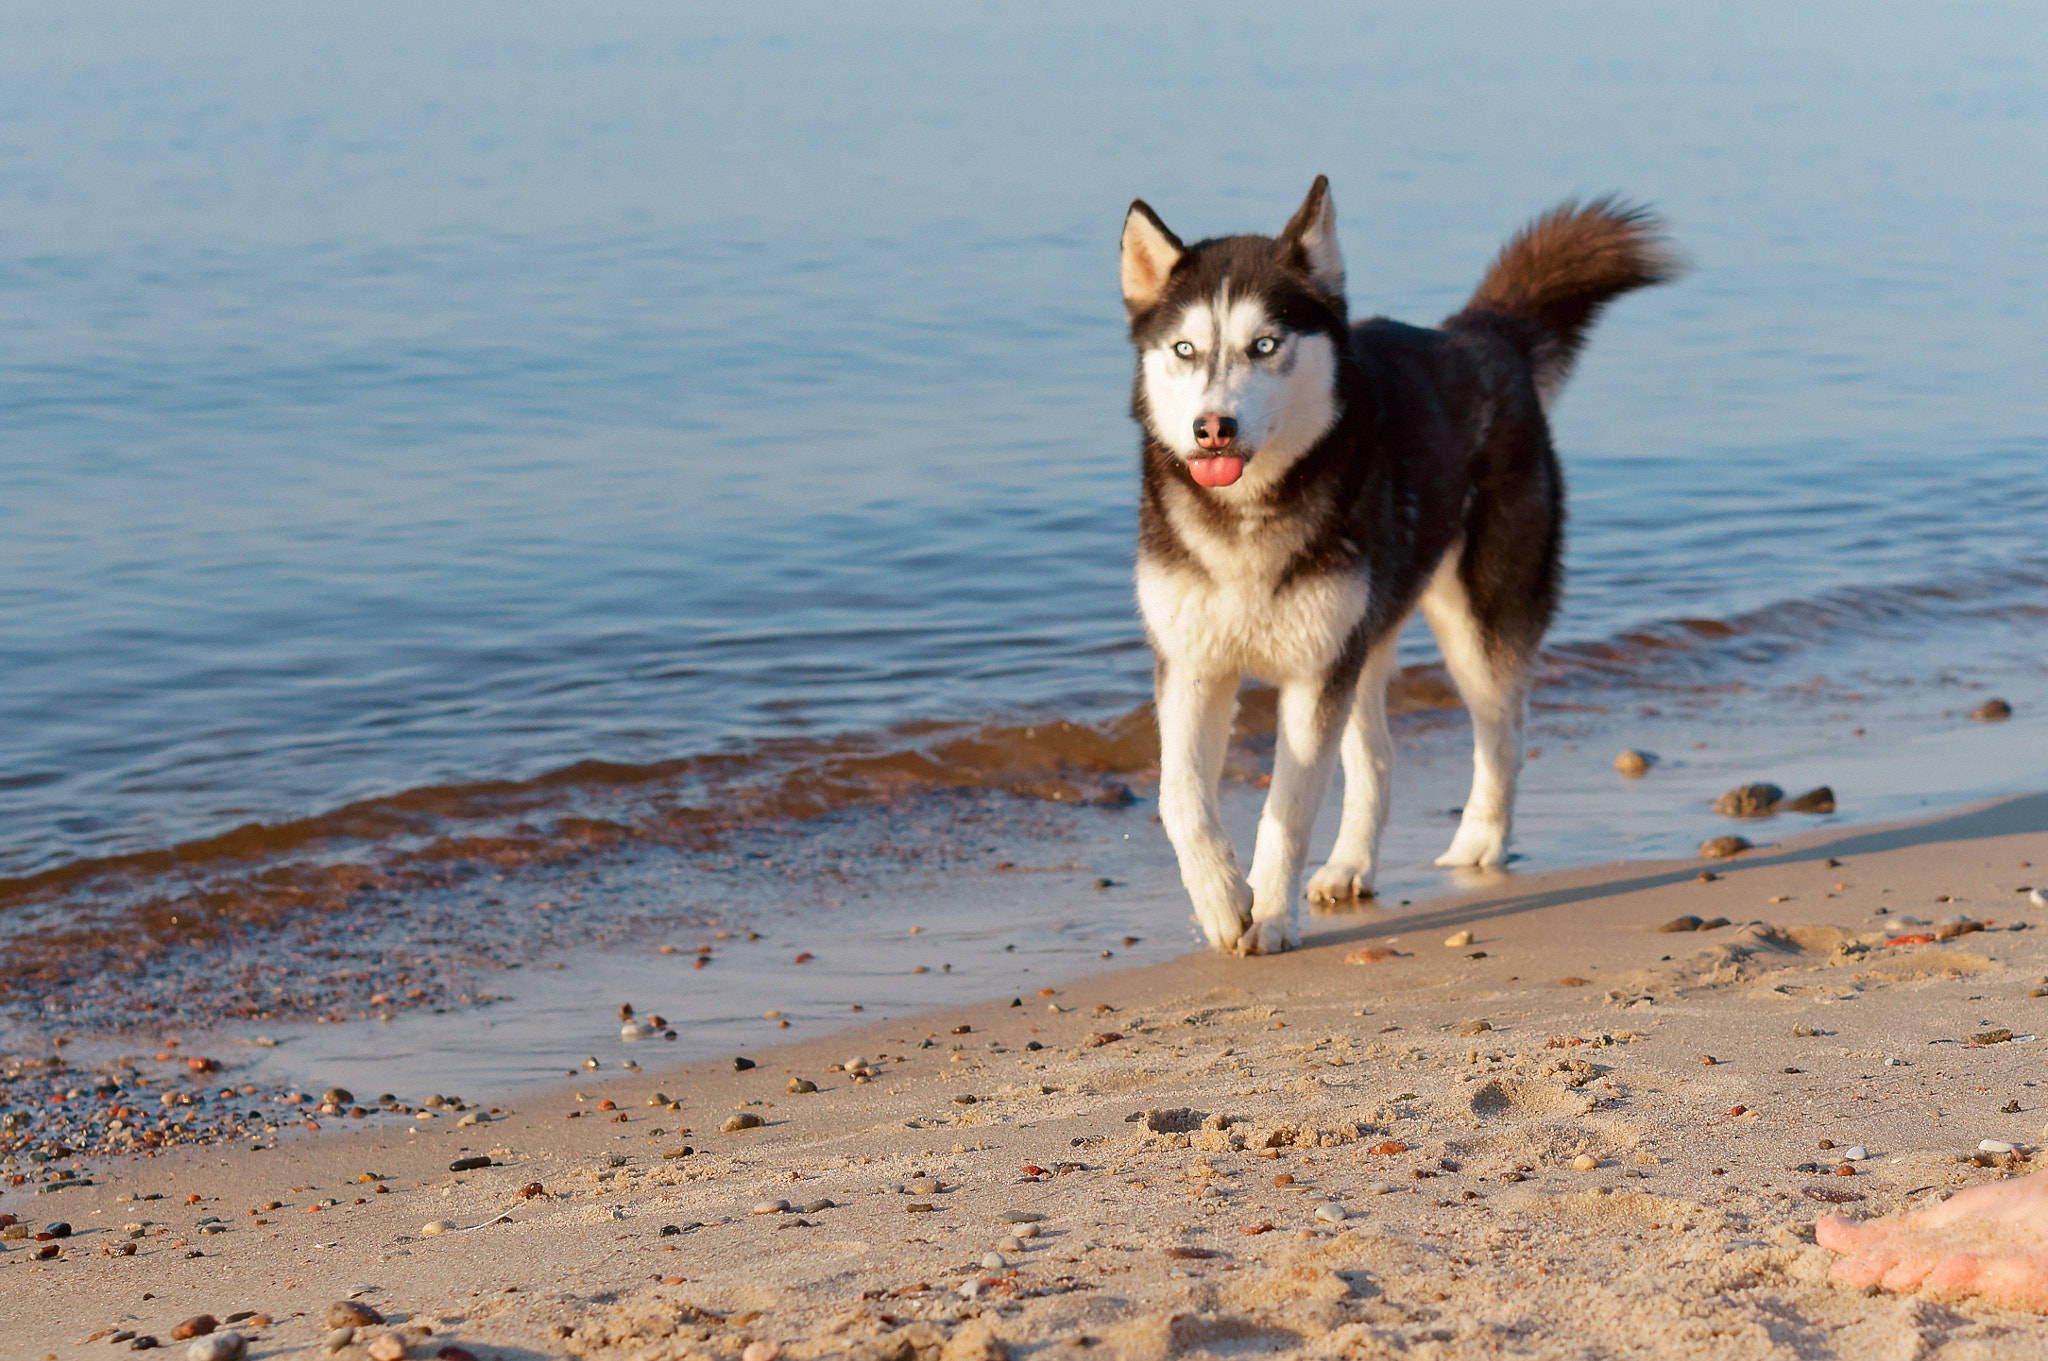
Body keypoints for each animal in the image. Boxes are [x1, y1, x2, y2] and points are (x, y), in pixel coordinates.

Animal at [1122, 174, 1679, 949]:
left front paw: (1270, 914)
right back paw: (1350, 865)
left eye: (1264, 345)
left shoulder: (1315, 673)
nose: (1213, 428)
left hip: (1475, 624)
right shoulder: (1193, 664)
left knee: (1503, 734)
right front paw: (1221, 899)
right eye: (1183, 348)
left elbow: (1288, 810)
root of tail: (1479, 332)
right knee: (1379, 759)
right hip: (1366, 637)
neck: (1249, 513)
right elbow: (1180, 795)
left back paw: (1479, 842)